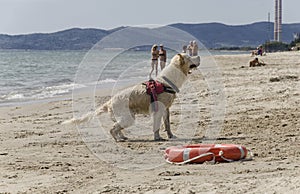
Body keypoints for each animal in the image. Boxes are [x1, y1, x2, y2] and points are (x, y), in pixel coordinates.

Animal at [63, 53, 199, 141]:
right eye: (189, 57)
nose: (199, 56)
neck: (167, 81)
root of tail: (109, 102)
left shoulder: (166, 109)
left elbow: (167, 124)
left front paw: (170, 135)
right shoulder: (158, 110)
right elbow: (157, 126)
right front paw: (158, 138)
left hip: (125, 118)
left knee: (117, 127)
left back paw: (123, 137)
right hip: (128, 118)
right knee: (112, 128)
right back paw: (118, 139)